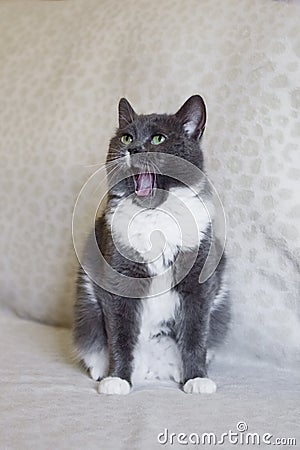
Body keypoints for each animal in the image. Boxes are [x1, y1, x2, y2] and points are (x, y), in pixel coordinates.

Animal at [72, 94, 230, 394]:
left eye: (158, 139)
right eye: (126, 137)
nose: (133, 149)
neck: (155, 215)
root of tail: (153, 368)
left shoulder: (199, 281)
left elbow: (195, 333)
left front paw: (197, 378)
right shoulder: (118, 276)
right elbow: (120, 334)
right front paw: (118, 379)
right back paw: (103, 371)